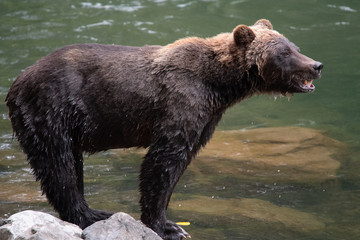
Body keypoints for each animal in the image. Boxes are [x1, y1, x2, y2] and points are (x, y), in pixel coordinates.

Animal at [4, 19, 320, 239]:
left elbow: (180, 162)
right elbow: (164, 161)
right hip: (52, 109)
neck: (219, 84)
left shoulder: (207, 117)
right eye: (283, 52)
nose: (316, 65)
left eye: (295, 47)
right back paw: (91, 214)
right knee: (59, 165)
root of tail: (17, 81)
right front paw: (168, 226)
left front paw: (171, 221)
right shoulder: (180, 102)